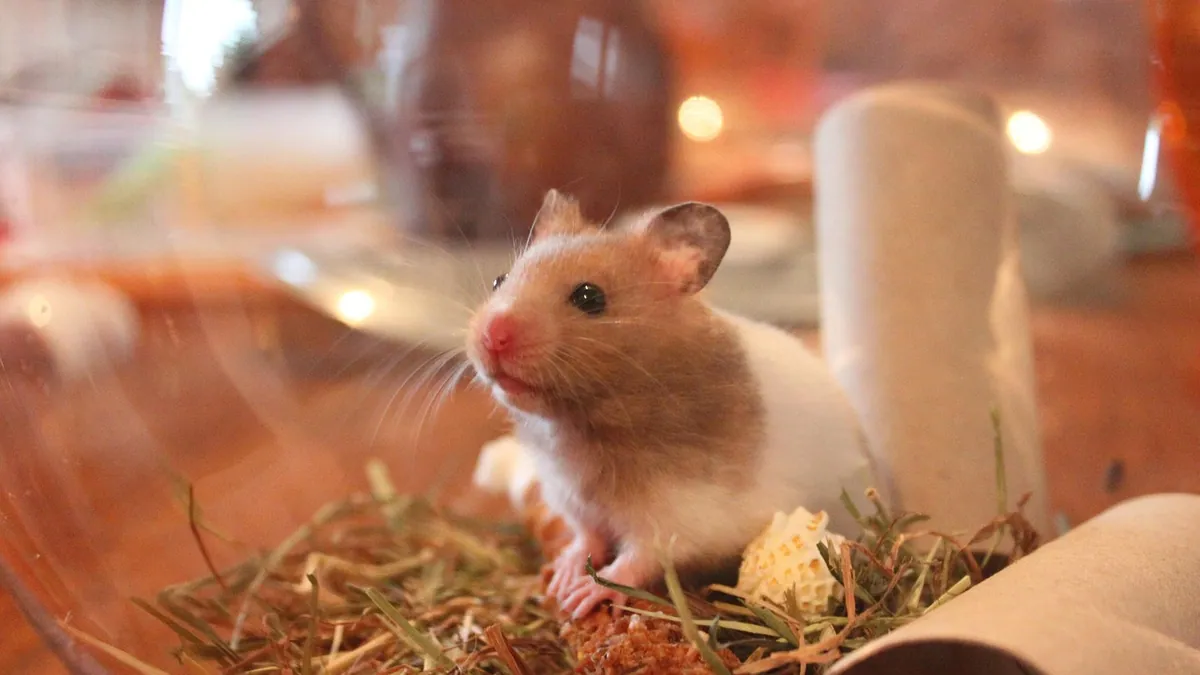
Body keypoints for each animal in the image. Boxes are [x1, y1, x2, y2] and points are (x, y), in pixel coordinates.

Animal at [464, 190, 877, 619]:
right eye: (499, 280)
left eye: (589, 296)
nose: (493, 336)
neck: (582, 422)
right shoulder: (573, 500)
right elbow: (587, 538)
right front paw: (562, 575)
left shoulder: (679, 520)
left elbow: (638, 559)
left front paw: (583, 596)